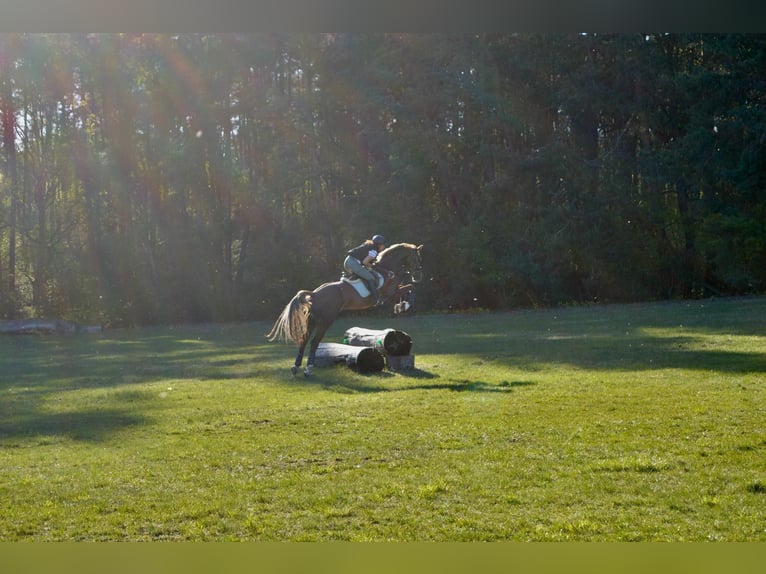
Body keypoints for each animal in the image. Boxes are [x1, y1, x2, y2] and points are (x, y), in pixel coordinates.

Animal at [267, 243, 423, 376]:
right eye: (417, 258)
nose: (418, 275)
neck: (388, 268)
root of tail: (315, 294)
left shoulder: (394, 291)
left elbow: (408, 289)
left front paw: (401, 306)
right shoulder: (390, 294)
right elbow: (410, 288)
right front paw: (405, 305)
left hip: (312, 321)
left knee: (304, 341)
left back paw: (296, 367)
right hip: (325, 321)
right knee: (314, 343)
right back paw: (308, 369)